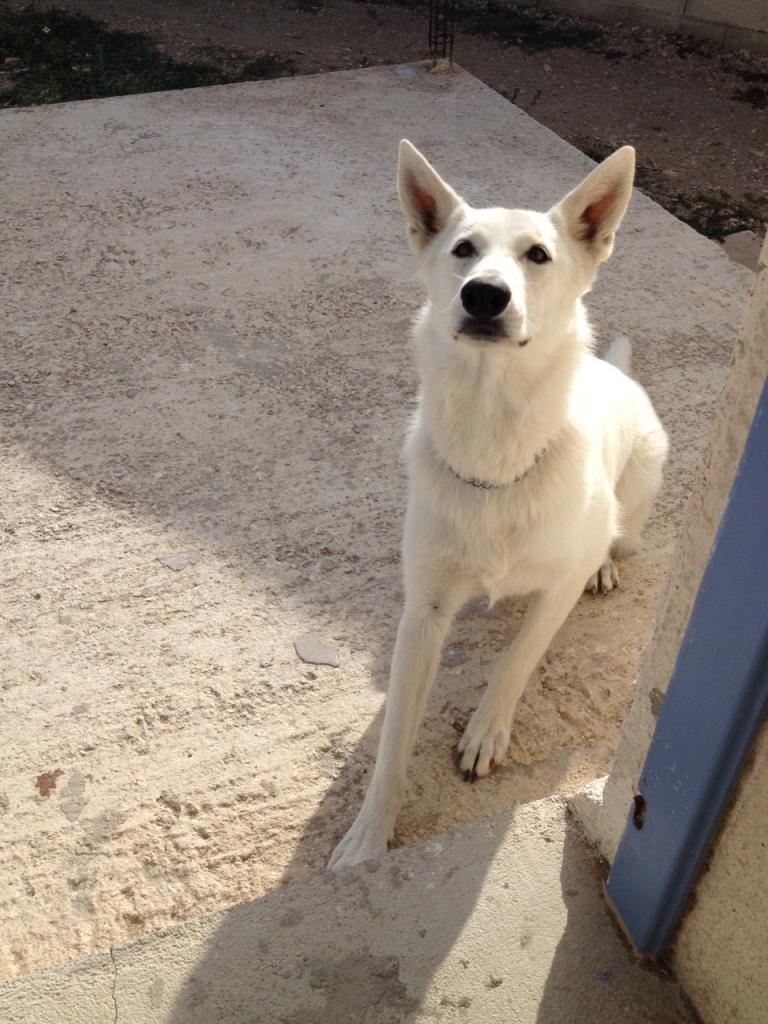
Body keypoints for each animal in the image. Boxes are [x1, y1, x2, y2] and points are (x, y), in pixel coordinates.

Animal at [329, 140, 667, 868]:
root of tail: (616, 372)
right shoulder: (424, 609)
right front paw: (368, 838)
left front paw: (486, 731)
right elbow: (393, 741)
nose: (485, 294)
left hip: (643, 479)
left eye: (538, 254)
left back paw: (609, 562)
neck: (496, 446)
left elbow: (517, 658)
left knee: (618, 537)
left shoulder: (557, 587)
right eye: (463, 249)